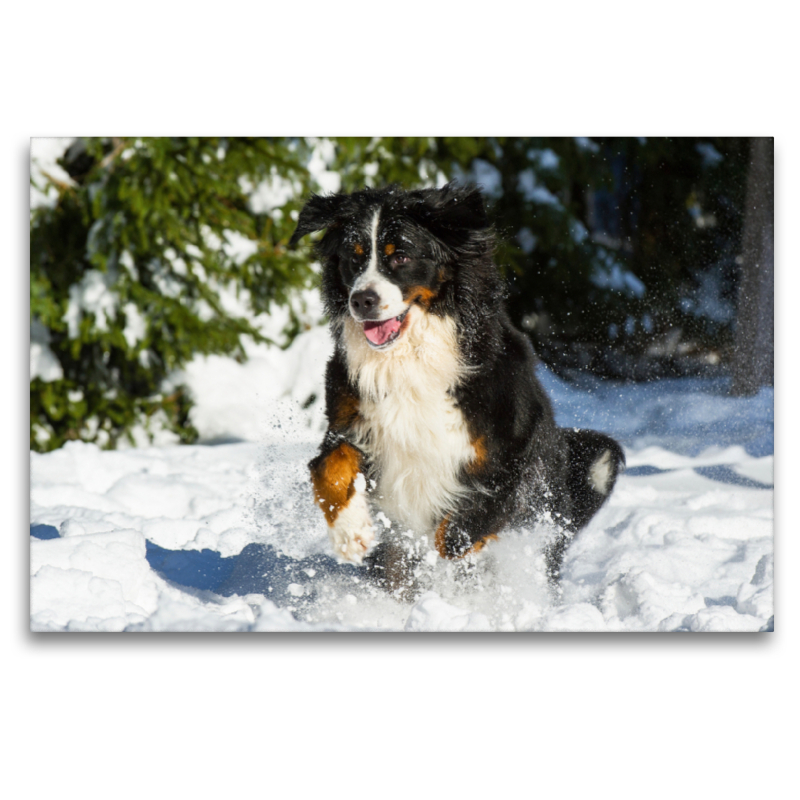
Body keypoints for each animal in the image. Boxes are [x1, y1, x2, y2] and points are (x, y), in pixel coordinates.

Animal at [290, 184, 624, 592]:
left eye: (400, 256)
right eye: (354, 258)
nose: (362, 300)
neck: (410, 358)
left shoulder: (513, 445)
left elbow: (473, 517)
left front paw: (452, 546)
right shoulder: (350, 422)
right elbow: (329, 467)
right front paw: (350, 533)